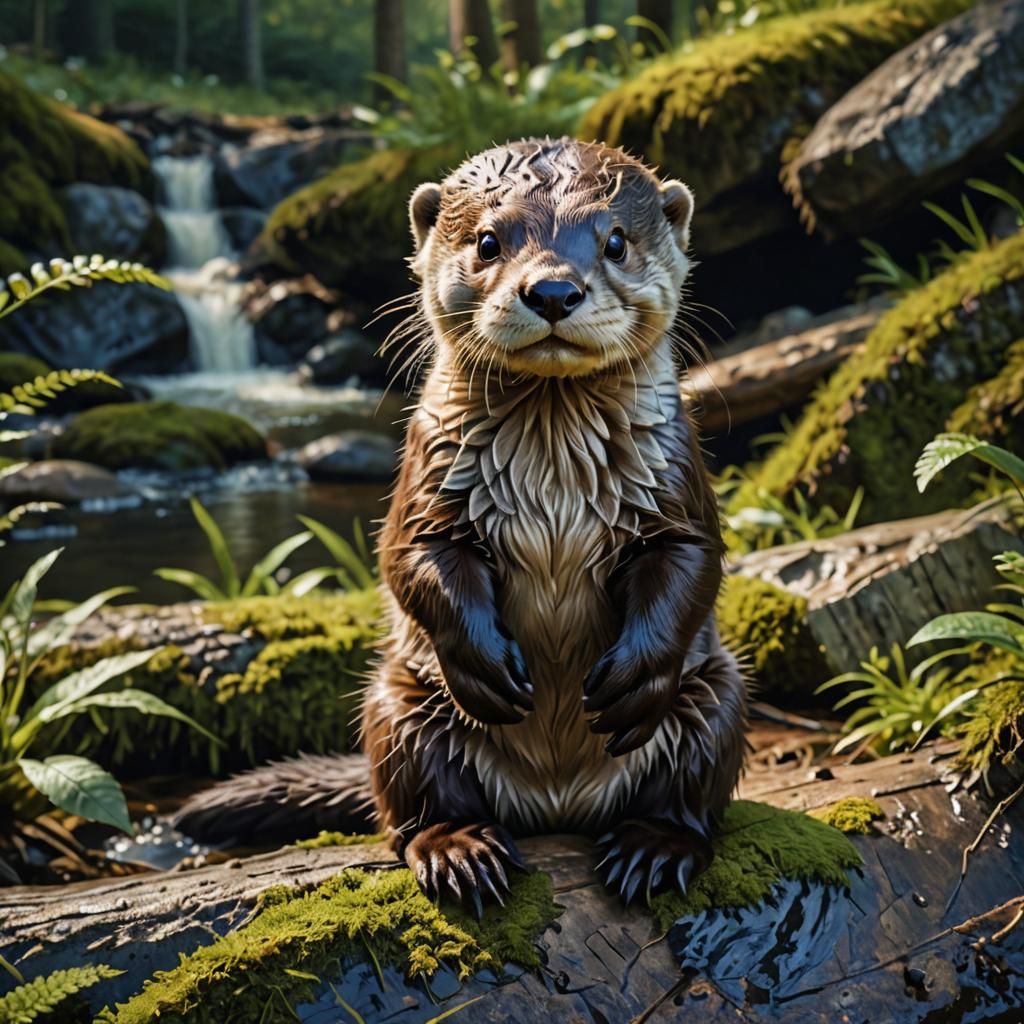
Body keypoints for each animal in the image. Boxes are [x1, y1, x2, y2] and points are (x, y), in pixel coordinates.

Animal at [176, 138, 747, 911]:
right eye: (487, 241)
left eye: (616, 241)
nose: (553, 291)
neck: (552, 477)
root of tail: (560, 803)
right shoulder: (427, 483)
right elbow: (410, 559)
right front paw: (488, 667)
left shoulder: (676, 479)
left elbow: (693, 561)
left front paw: (632, 678)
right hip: (400, 705)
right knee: (416, 809)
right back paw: (459, 851)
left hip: (716, 695)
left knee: (688, 788)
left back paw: (653, 848)